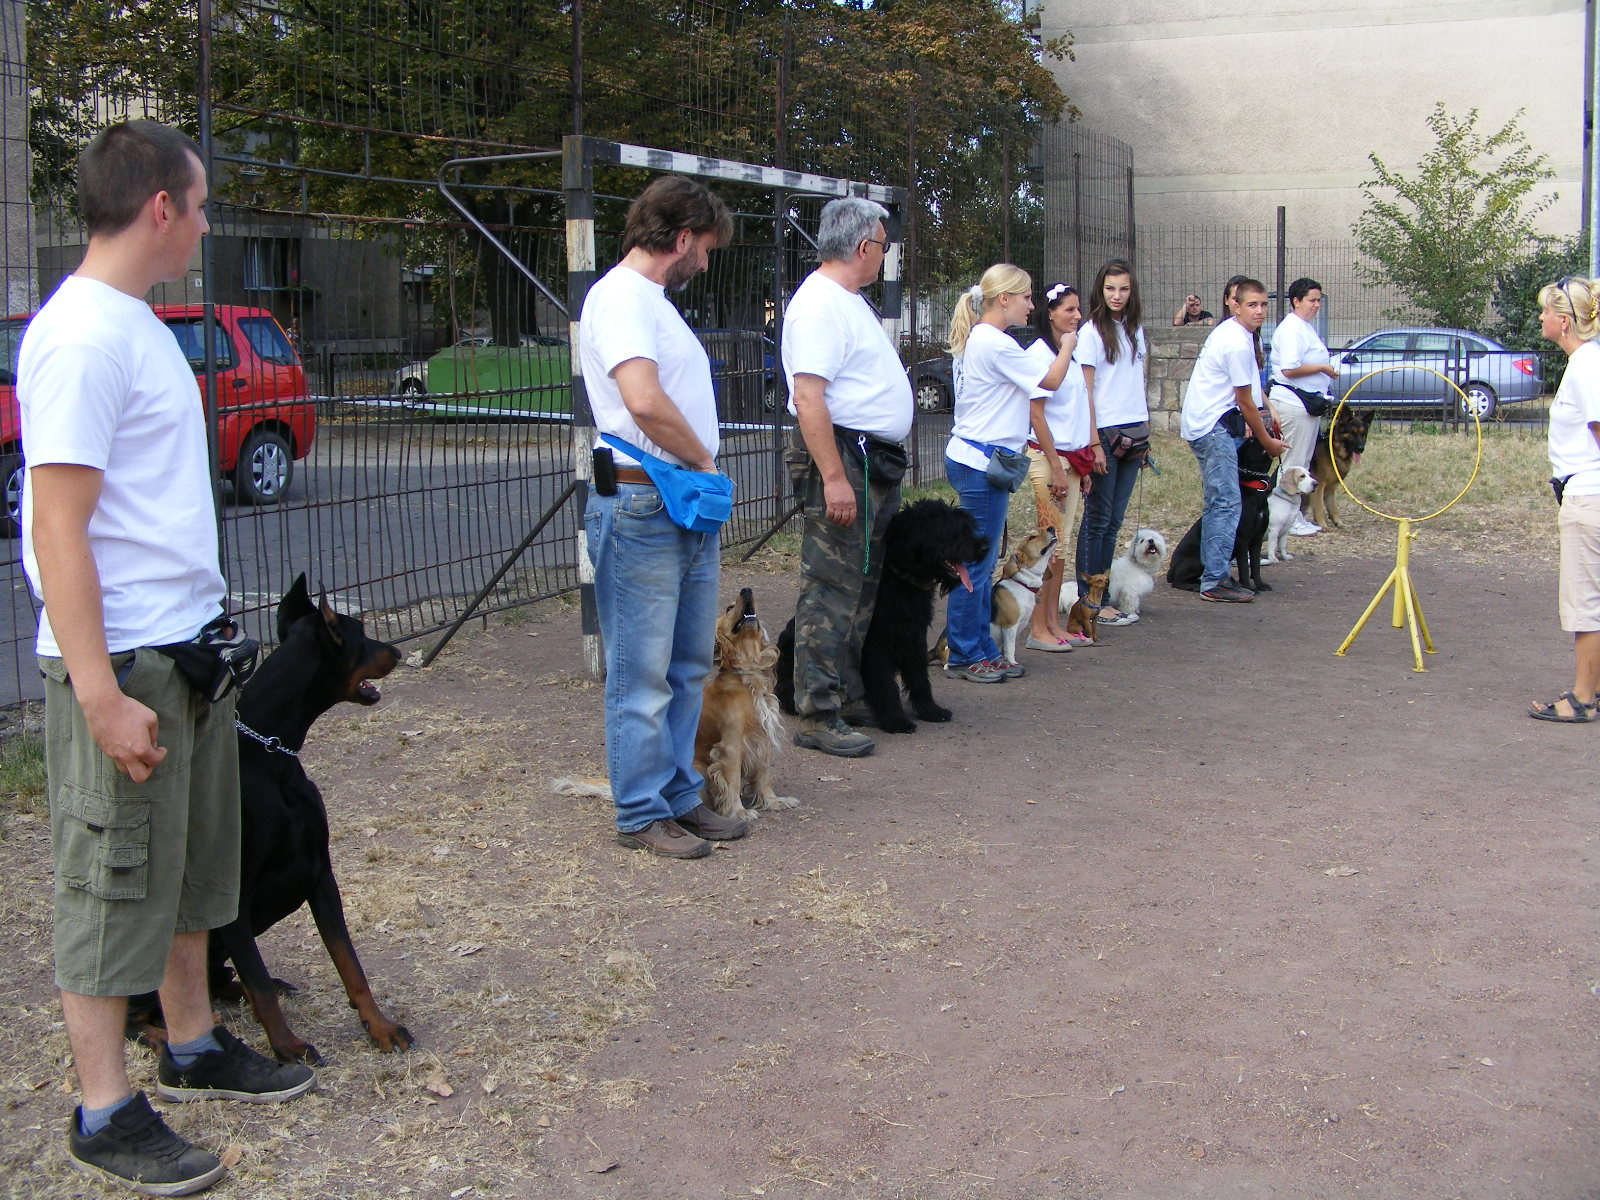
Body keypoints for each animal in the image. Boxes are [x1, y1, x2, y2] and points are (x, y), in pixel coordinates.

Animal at [691, 588, 796, 825]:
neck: (748, 671)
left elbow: (765, 775)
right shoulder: (731, 746)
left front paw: (772, 801)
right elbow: (732, 782)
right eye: (729, 608)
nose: (746, 590)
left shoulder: (763, 737)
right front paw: (738, 812)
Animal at [777, 496, 985, 732]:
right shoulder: (876, 646)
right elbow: (886, 683)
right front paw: (896, 719)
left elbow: (920, 678)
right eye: (947, 529)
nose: (984, 546)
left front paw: (930, 710)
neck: (901, 583)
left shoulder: (915, 638)